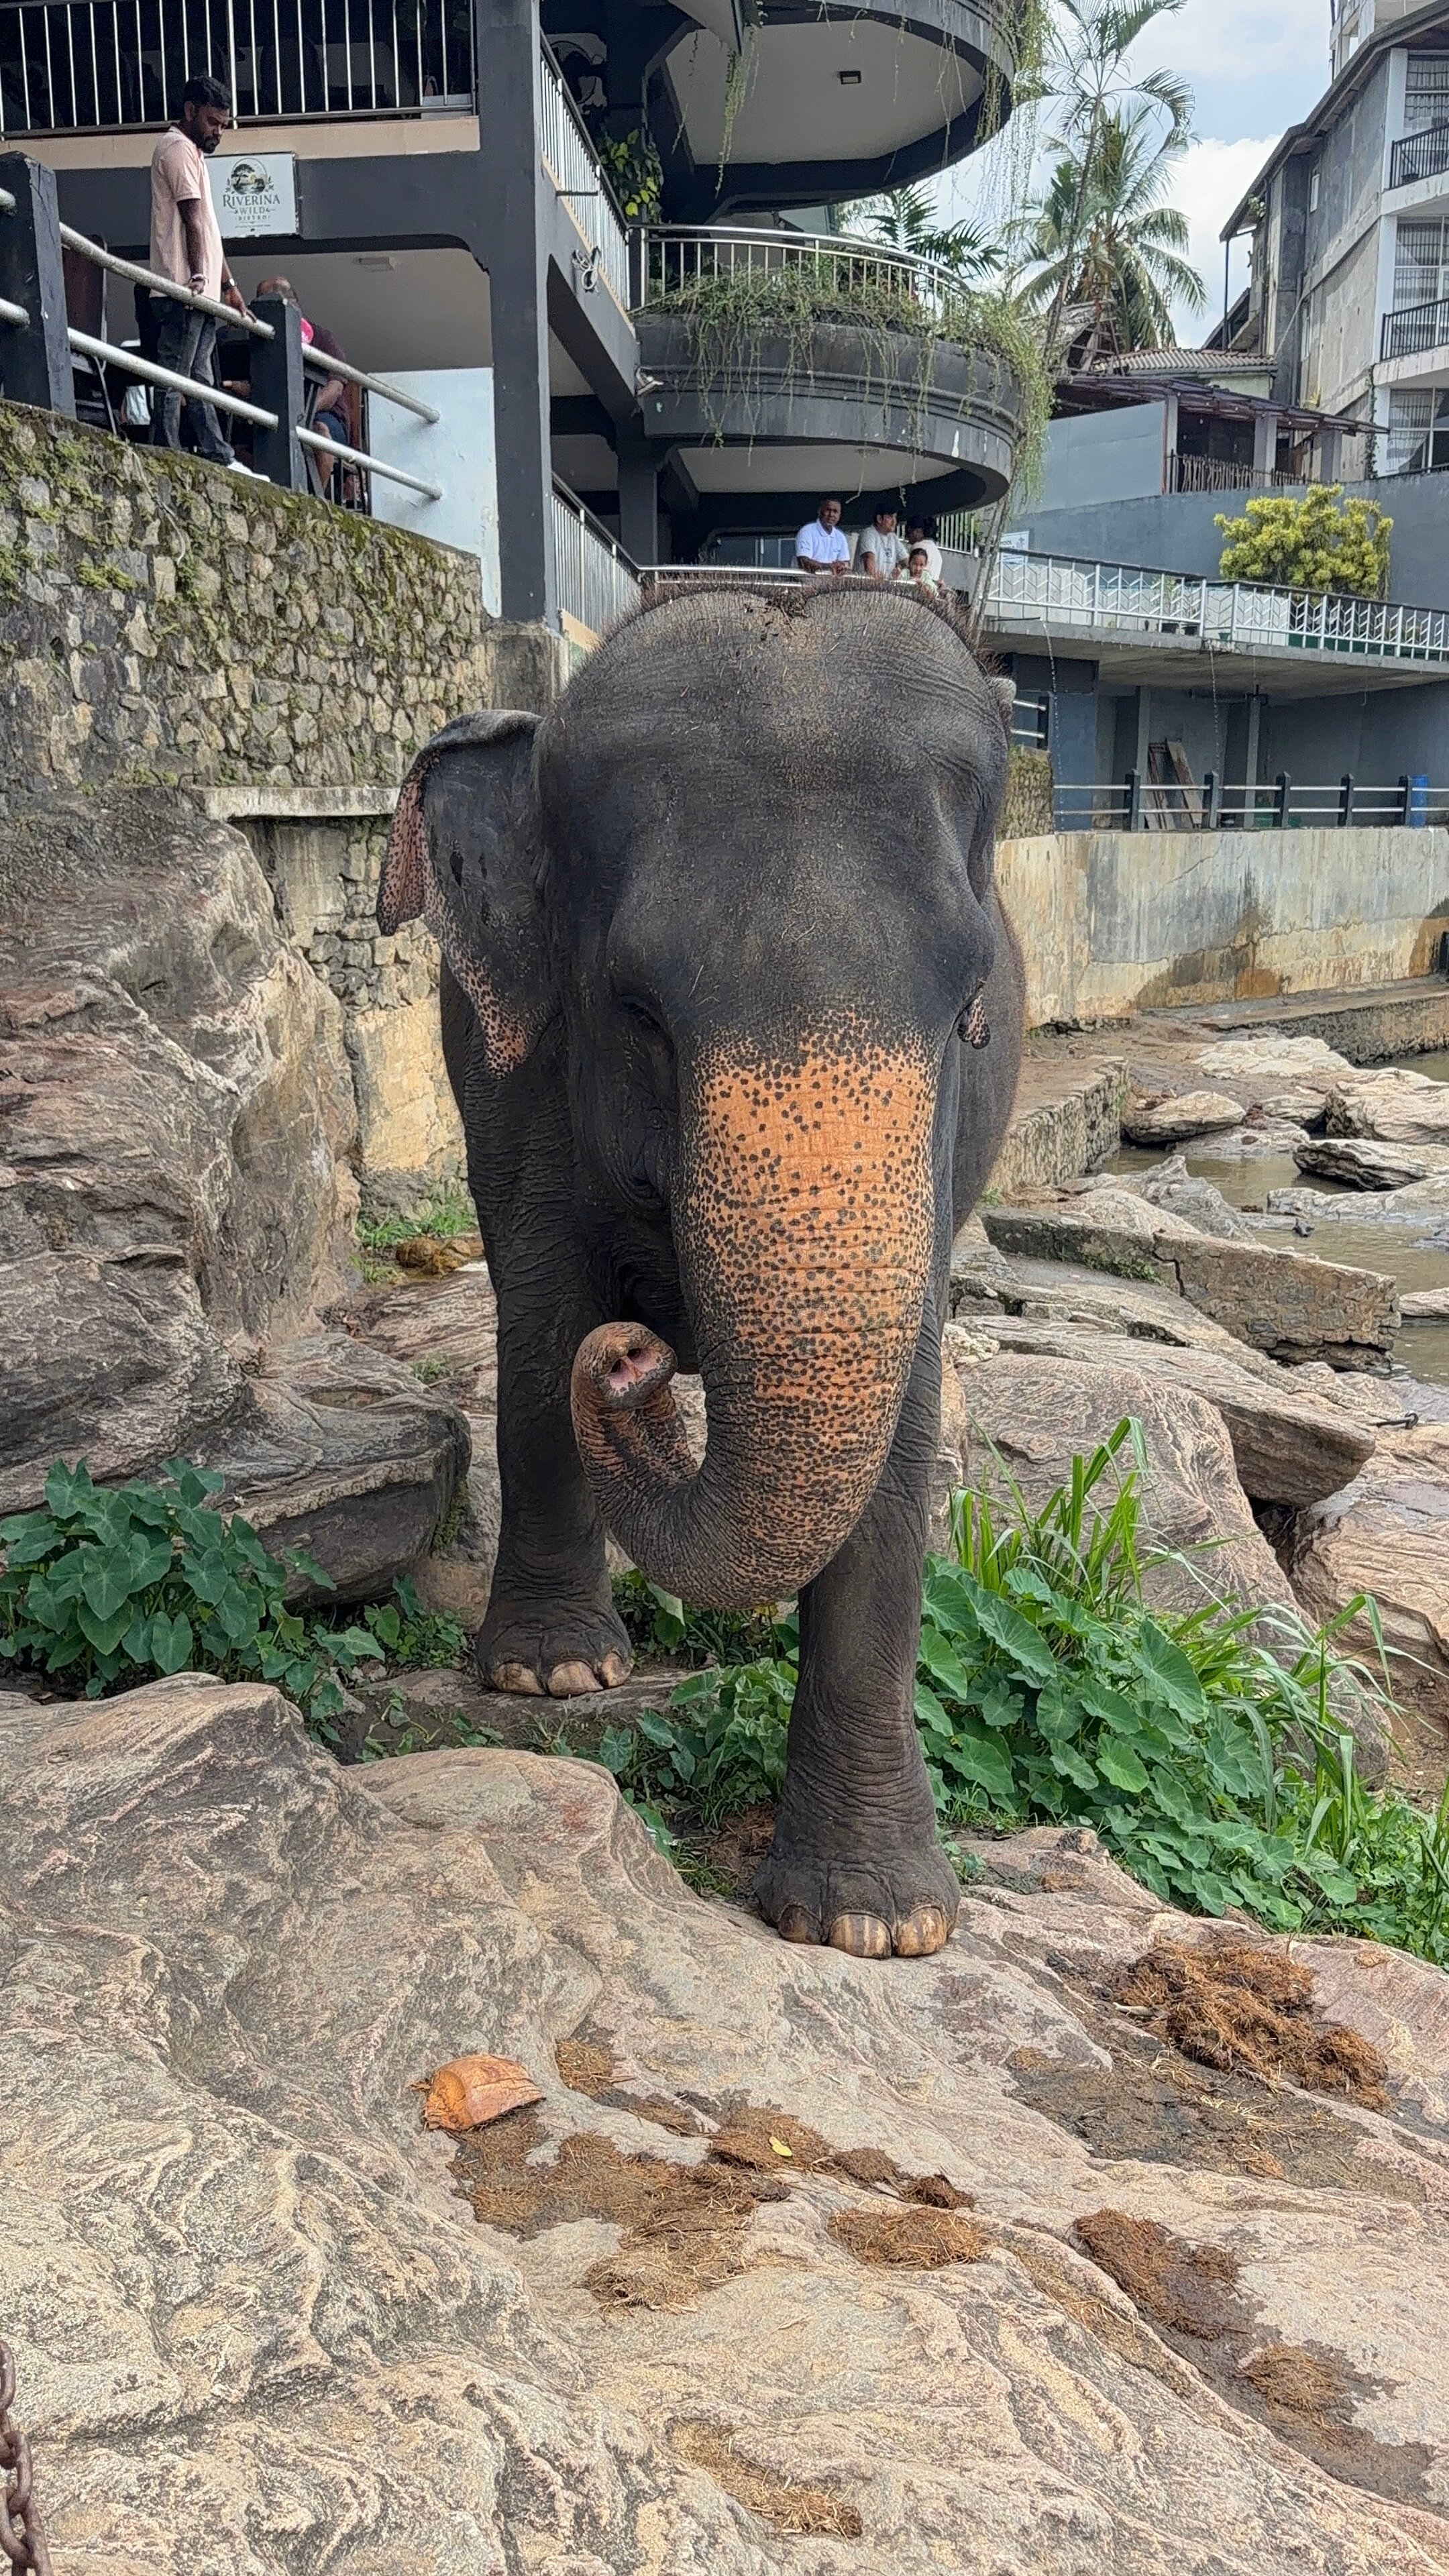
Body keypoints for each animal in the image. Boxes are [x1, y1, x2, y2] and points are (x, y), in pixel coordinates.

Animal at [378, 580, 1024, 1960]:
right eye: (637, 1012)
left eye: (969, 1010)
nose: (639, 1360)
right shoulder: (518, 1065)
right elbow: (542, 1307)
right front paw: (555, 1677)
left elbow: (903, 1414)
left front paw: (875, 1928)